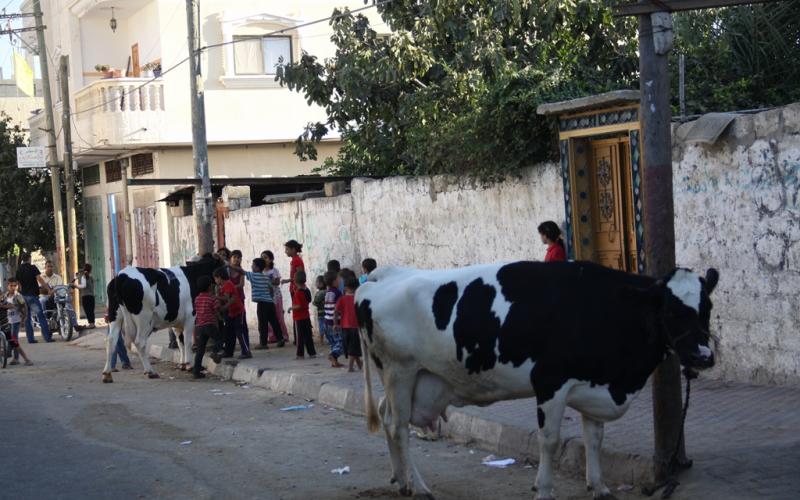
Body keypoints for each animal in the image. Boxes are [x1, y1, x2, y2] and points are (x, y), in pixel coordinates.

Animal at [103, 254, 223, 382]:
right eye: (223, 266)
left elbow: (180, 341)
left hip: (115, 316)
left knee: (111, 340)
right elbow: (187, 341)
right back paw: (150, 372)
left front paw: (182, 364)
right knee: (140, 342)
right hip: (144, 318)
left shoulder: (177, 321)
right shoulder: (191, 316)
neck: (192, 276)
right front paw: (189, 365)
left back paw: (107, 374)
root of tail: (121, 275)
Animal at [356, 262, 720, 500]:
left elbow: (594, 439)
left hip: (416, 379)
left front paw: (599, 487)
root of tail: (379, 275)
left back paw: (401, 479)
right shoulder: (550, 383)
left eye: (707, 308)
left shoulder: (593, 383)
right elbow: (550, 441)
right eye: (670, 311)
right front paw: (543, 490)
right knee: (399, 428)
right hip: (399, 370)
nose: (703, 355)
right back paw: (419, 487)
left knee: (387, 416)